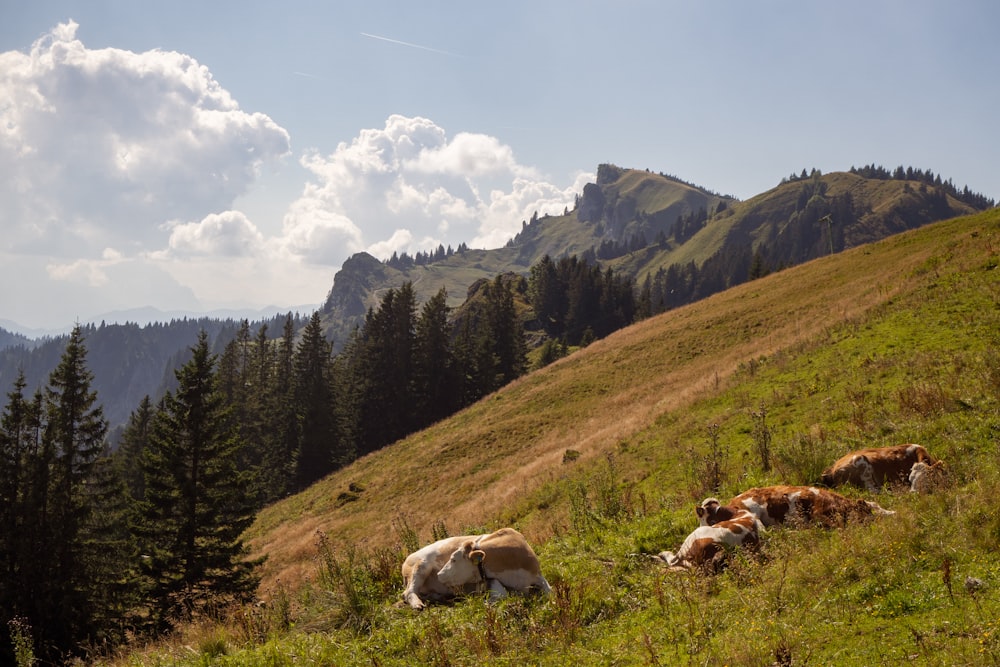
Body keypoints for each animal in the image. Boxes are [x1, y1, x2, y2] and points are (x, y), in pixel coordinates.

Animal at [402, 528, 552, 612]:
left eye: (453, 559)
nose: (439, 574)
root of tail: (407, 558)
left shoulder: (538, 576)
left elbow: (549, 591)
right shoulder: (490, 579)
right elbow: (502, 594)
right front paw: (486, 602)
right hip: (420, 567)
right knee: (408, 592)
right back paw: (418, 605)